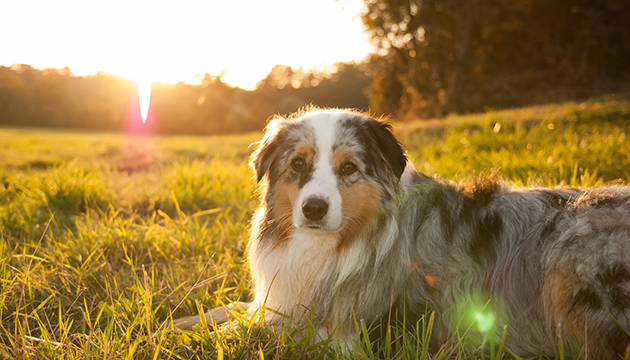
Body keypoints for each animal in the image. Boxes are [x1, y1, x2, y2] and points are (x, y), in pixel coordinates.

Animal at [173, 108, 630, 358]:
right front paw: (175, 324)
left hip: (568, 253)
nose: (314, 209)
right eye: (298, 164)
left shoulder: (353, 336)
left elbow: (256, 329)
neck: (334, 245)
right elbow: (231, 309)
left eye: (349, 168)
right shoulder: (281, 298)